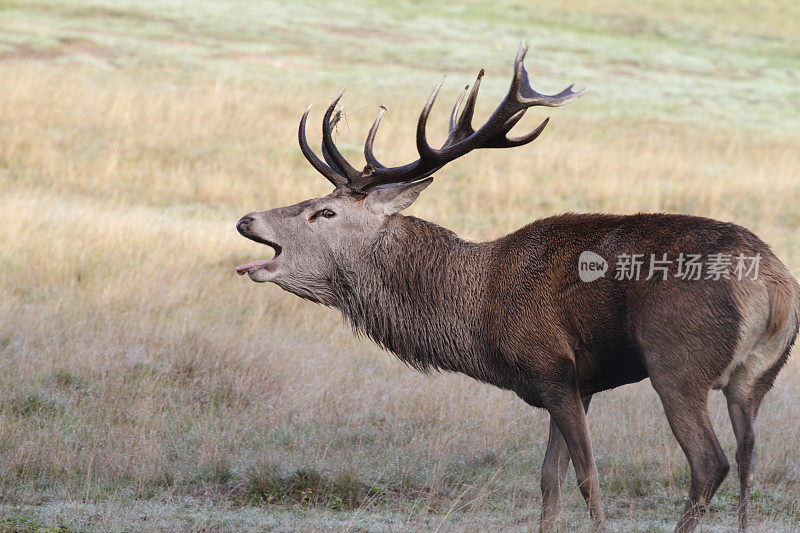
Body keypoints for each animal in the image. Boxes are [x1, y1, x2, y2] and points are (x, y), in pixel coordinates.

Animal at [234, 42, 796, 532]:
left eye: (324, 212)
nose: (246, 218)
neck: (478, 309)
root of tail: (775, 286)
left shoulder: (552, 366)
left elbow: (588, 477)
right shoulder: (578, 385)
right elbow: (549, 479)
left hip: (676, 360)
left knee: (710, 463)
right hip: (757, 376)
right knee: (748, 460)